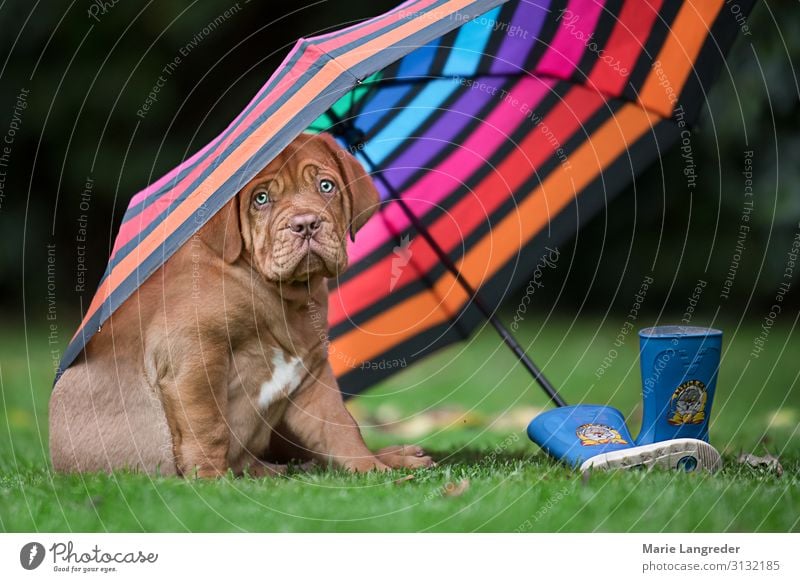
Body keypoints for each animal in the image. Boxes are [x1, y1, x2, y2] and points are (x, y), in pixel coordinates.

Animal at [50, 133, 434, 480]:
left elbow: (339, 426)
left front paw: (371, 469)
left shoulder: (311, 372)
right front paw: (211, 480)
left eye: (326, 186)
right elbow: (208, 425)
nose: (306, 224)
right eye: (260, 198)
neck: (278, 295)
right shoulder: (193, 356)